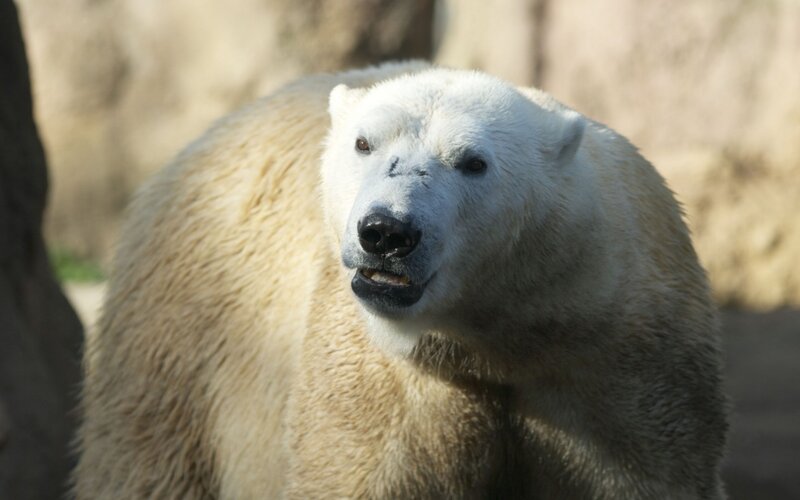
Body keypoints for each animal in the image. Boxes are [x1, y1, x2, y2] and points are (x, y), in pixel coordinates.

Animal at [74, 61, 728, 499]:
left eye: (473, 162)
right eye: (364, 143)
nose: (386, 232)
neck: (500, 336)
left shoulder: (619, 367)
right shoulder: (390, 385)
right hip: (186, 334)